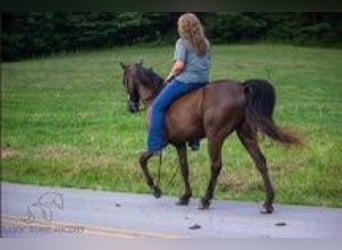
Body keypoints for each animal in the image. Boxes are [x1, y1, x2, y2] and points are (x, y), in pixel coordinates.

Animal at [119, 61, 300, 213]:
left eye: (124, 81)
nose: (131, 107)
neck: (155, 95)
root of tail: (241, 87)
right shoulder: (179, 143)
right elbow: (184, 169)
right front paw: (185, 196)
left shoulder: (161, 141)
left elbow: (142, 159)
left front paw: (155, 189)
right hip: (245, 134)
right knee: (260, 162)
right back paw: (268, 202)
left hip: (215, 136)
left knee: (216, 165)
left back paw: (205, 199)